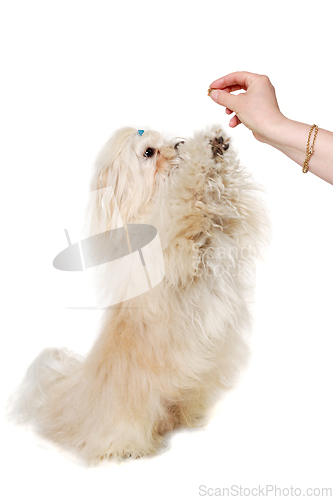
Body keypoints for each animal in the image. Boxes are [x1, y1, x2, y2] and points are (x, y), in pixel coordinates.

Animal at [11, 127, 268, 462]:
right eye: (149, 152)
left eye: (168, 140)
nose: (179, 144)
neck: (152, 198)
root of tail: (69, 396)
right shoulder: (177, 245)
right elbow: (189, 197)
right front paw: (202, 154)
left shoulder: (224, 229)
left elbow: (224, 197)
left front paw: (216, 146)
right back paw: (127, 448)